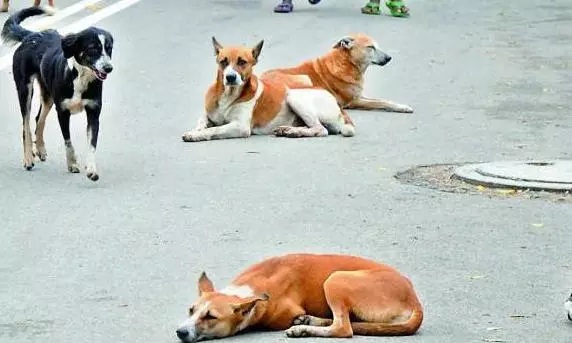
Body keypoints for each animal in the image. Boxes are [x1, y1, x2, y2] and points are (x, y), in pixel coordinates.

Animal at [1, 6, 114, 181]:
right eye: (92, 48)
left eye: (109, 48)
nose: (108, 68)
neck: (79, 76)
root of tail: (31, 36)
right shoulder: (63, 111)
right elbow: (68, 141)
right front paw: (72, 163)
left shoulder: (93, 112)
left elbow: (92, 144)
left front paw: (92, 170)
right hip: (25, 91)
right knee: (26, 125)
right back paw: (28, 158)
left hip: (48, 96)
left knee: (38, 118)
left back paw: (40, 149)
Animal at [177, 254, 422, 342]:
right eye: (191, 310)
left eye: (211, 317)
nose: (180, 332)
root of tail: (414, 298)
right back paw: (309, 321)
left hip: (335, 279)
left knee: (344, 328)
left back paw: (304, 329)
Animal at [181, 38, 356, 143]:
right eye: (223, 62)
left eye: (242, 62)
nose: (230, 77)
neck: (229, 95)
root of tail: (337, 104)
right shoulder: (208, 114)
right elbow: (202, 121)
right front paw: (197, 130)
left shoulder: (240, 127)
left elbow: (215, 129)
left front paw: (196, 135)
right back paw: (290, 129)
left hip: (294, 96)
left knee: (321, 129)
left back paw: (295, 132)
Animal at [262, 32, 414, 113]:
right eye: (370, 47)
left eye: (377, 46)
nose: (389, 58)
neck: (348, 64)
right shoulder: (354, 101)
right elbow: (381, 103)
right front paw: (401, 108)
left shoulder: (359, 95)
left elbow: (384, 100)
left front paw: (402, 106)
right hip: (303, 79)